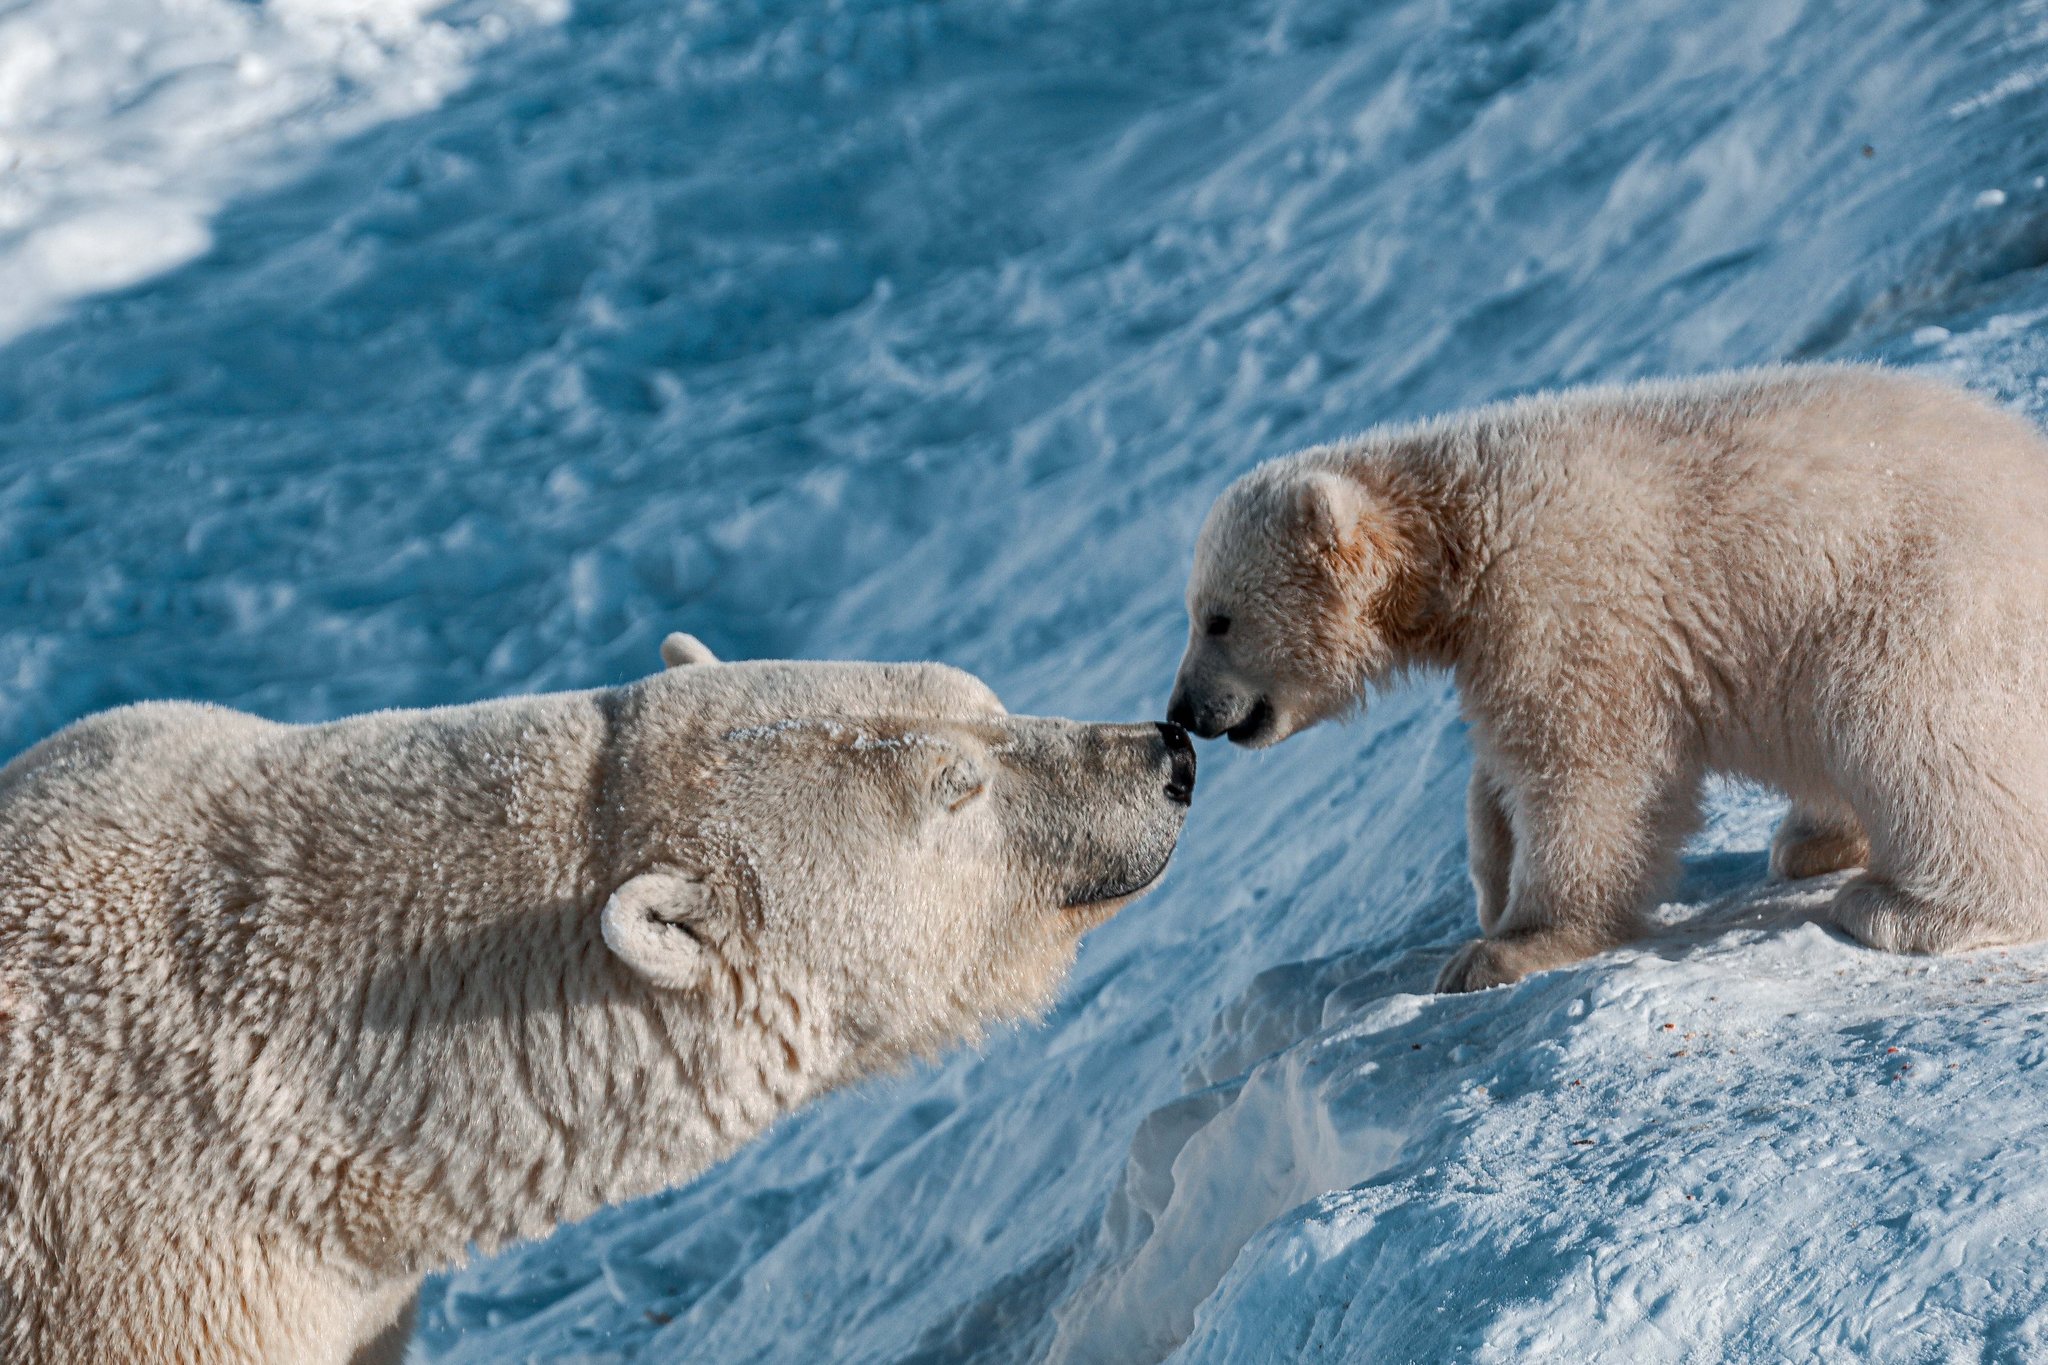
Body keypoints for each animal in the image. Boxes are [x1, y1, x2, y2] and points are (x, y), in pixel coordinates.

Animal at [1171, 366, 2048, 994]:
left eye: (1217, 617)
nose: (1185, 710)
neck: (1463, 525)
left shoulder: (1565, 599)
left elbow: (1585, 765)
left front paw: (1508, 947)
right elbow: (1498, 770)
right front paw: (1491, 890)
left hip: (1923, 591)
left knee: (1908, 725)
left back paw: (1912, 907)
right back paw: (1813, 840)